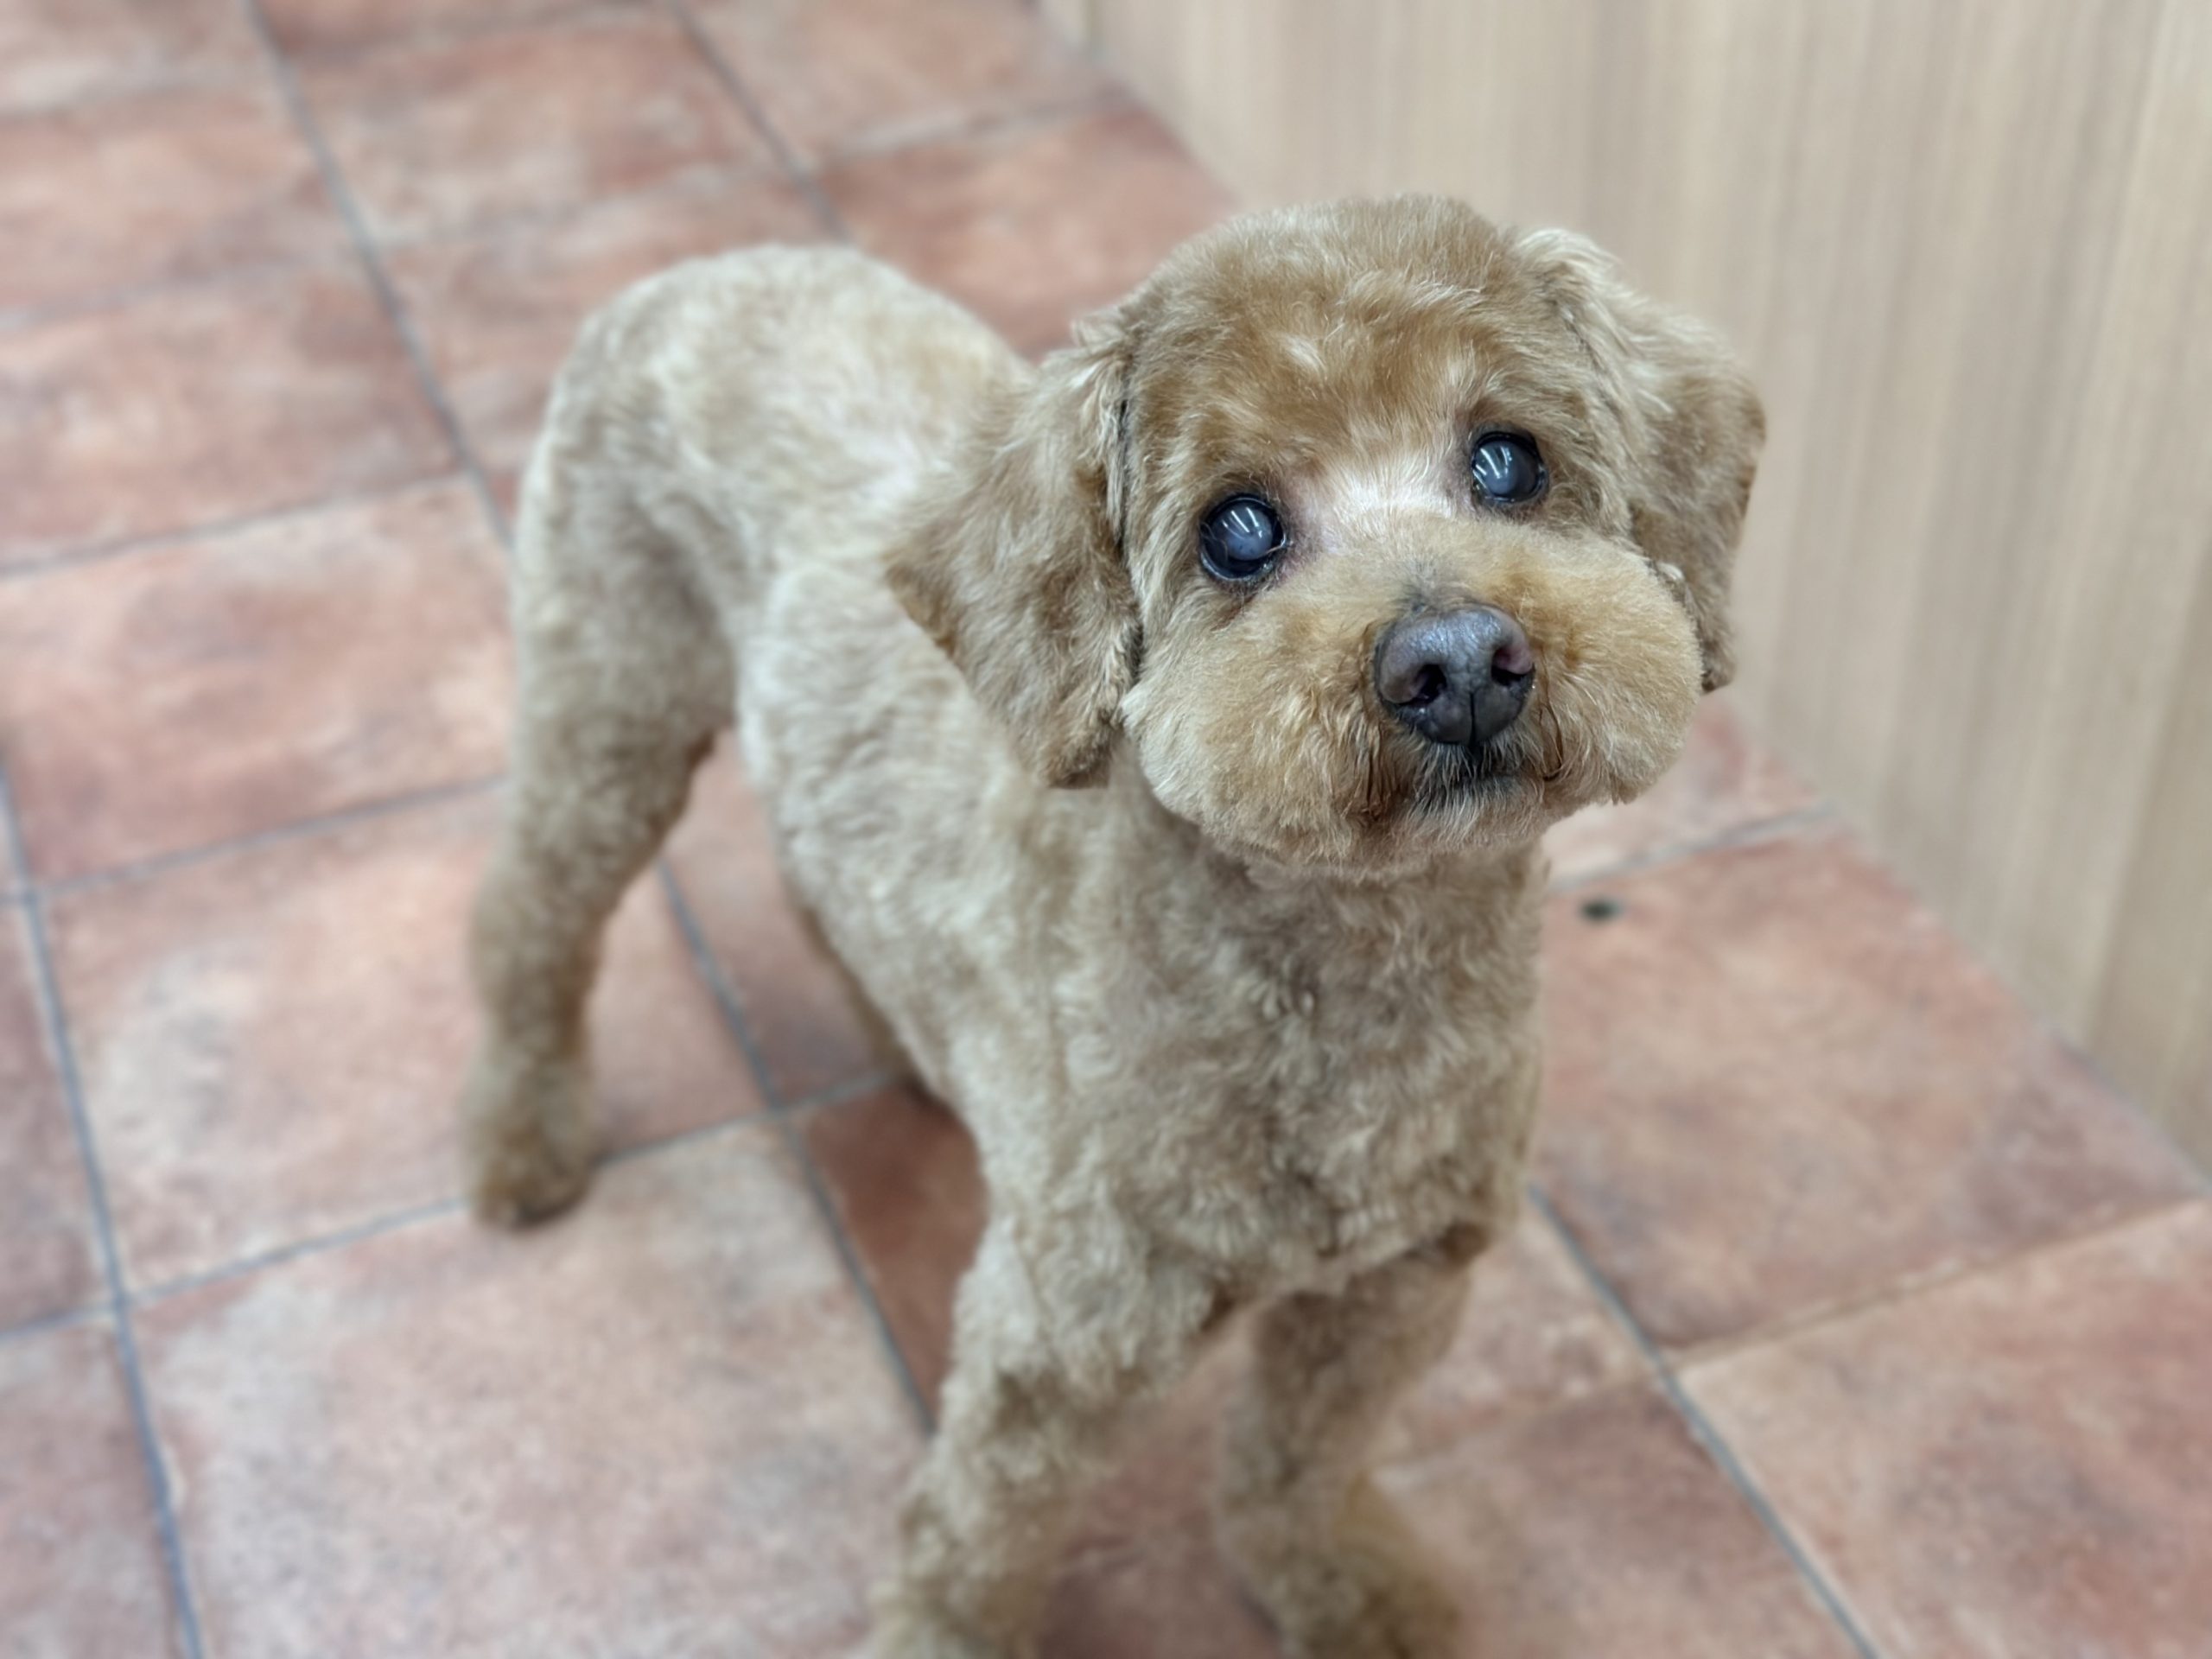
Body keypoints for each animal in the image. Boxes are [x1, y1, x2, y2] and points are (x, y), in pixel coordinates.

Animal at [458, 194, 1762, 1658]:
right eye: (1238, 530)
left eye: (1508, 460)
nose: (1459, 660)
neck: (1353, 975)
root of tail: (695, 268)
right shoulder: (1060, 1343)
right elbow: (973, 1552)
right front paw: (937, 1640)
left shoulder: (1392, 1290)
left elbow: (1300, 1469)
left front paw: (1340, 1591)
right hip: (606, 707)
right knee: (526, 920)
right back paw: (522, 1137)